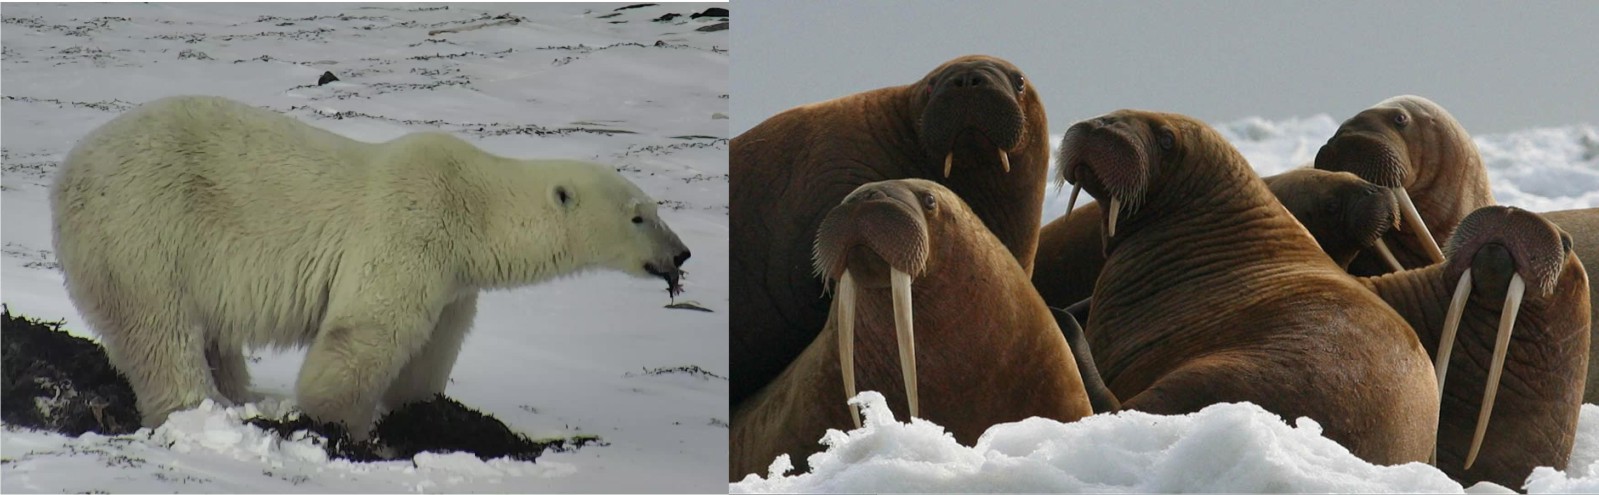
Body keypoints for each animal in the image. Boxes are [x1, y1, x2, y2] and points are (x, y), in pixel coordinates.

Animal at [50, 95, 692, 439]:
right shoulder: (411, 229)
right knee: (159, 329)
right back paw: (201, 408)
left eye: (658, 209)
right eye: (639, 216)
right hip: (142, 227)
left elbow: (435, 346)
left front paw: (422, 410)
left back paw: (239, 391)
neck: (473, 203)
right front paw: (343, 425)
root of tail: (68, 169)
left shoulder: (455, 279)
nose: (681, 256)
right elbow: (367, 330)